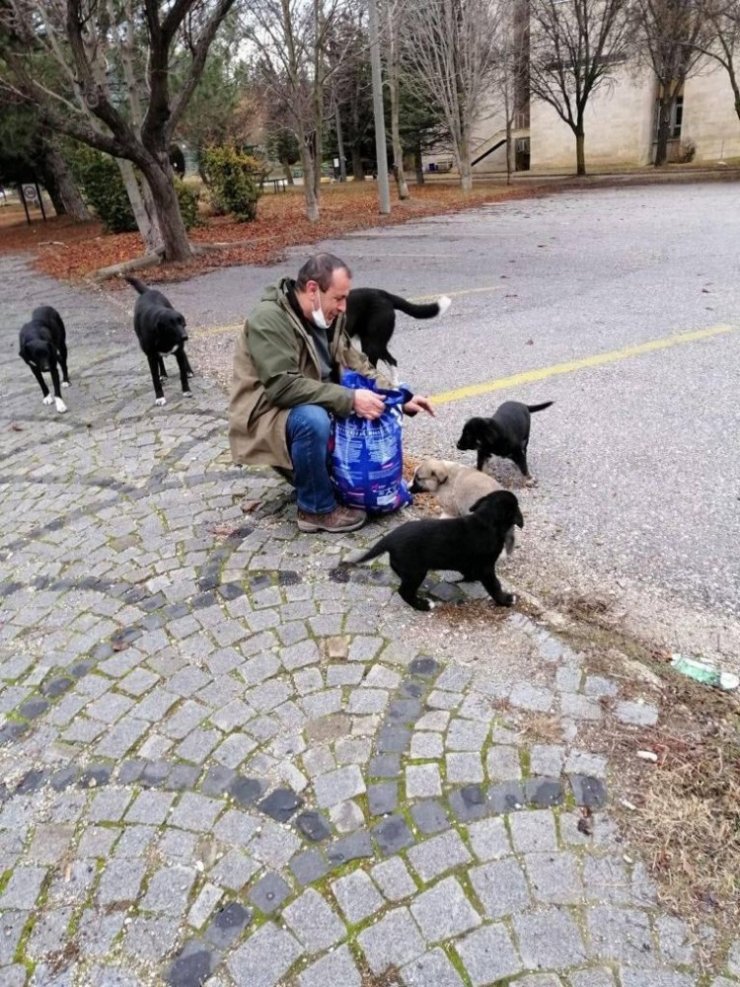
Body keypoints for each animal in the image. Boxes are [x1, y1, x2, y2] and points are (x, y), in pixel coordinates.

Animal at [124, 274, 194, 406]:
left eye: (183, 324)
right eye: (171, 326)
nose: (185, 337)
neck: (165, 338)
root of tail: (148, 291)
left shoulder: (179, 351)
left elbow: (182, 373)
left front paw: (186, 390)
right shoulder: (151, 357)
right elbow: (155, 378)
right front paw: (160, 397)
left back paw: (189, 371)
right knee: (160, 360)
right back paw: (163, 374)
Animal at [344, 488, 524, 608]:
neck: (485, 521)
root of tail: (390, 538)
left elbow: (468, 572)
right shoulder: (486, 568)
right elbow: (495, 586)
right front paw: (506, 600)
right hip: (415, 572)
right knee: (404, 592)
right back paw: (423, 605)